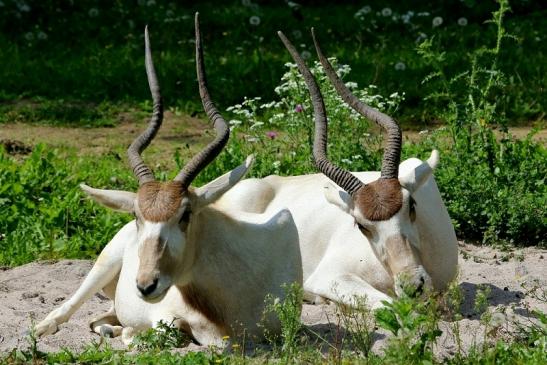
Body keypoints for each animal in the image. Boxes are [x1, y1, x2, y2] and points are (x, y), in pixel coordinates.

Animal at [33, 14, 304, 344]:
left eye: (185, 214)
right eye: (137, 216)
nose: (145, 285)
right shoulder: (165, 317)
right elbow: (160, 333)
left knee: (100, 318)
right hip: (103, 265)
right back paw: (46, 327)